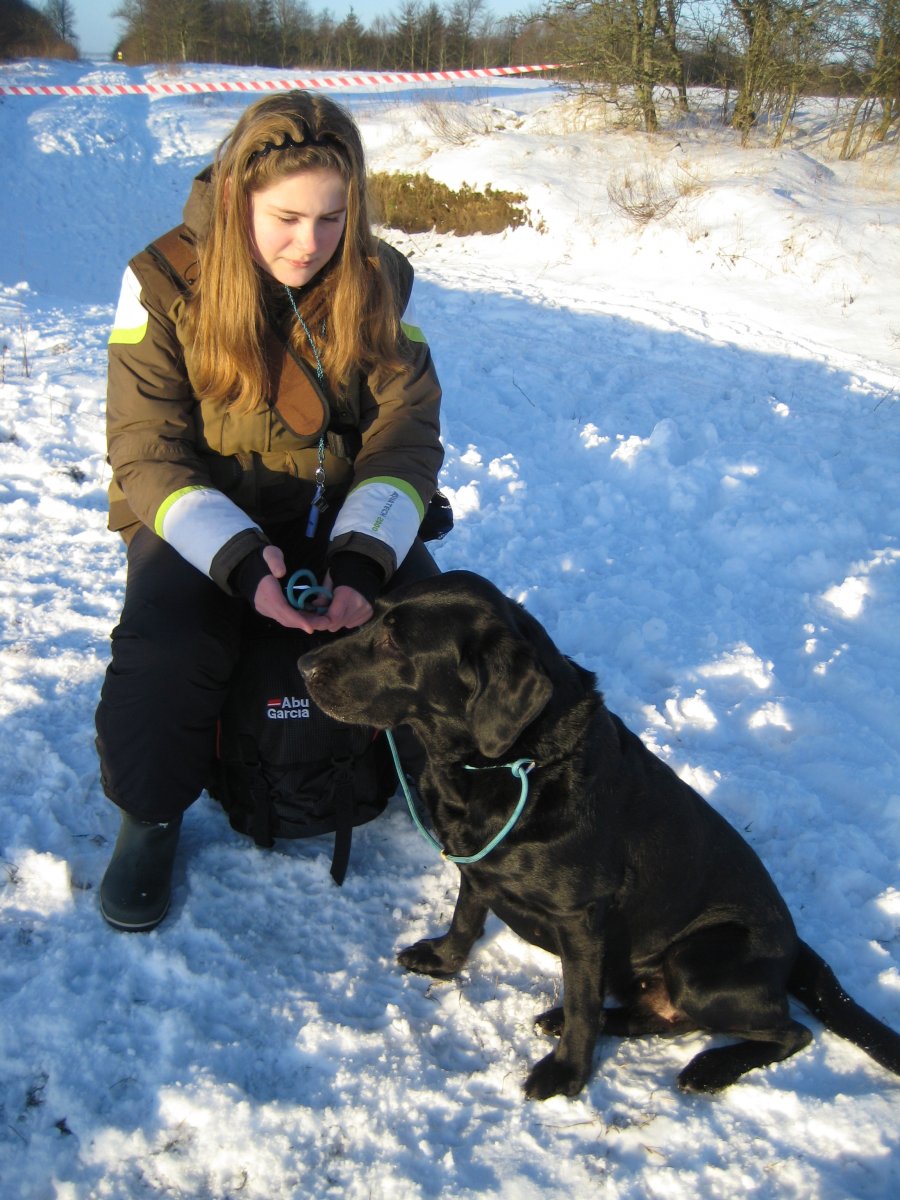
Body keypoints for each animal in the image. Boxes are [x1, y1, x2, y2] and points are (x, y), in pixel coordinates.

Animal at [297, 570, 900, 1100]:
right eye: (372, 617)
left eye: (395, 641)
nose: (303, 665)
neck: (513, 763)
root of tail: (797, 949)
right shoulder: (477, 865)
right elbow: (466, 916)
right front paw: (444, 959)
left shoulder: (581, 918)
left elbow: (584, 1003)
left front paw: (566, 1075)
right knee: (664, 1018)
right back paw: (568, 1019)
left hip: (699, 964)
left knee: (788, 1032)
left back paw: (708, 1068)